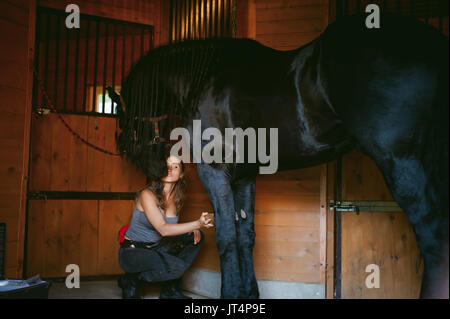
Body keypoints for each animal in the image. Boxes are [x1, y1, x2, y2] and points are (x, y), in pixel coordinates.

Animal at [110, 14, 448, 300]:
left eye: (124, 119)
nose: (153, 168)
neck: (204, 79)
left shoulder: (214, 170)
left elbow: (226, 237)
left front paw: (231, 294)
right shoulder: (244, 177)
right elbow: (245, 236)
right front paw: (249, 293)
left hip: (401, 161)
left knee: (433, 240)